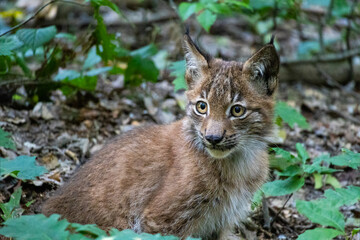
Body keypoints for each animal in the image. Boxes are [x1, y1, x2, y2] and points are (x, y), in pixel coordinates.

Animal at [41, 32, 278, 240]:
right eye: (202, 107)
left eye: (237, 111)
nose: (212, 138)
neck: (238, 160)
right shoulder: (160, 221)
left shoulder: (221, 223)